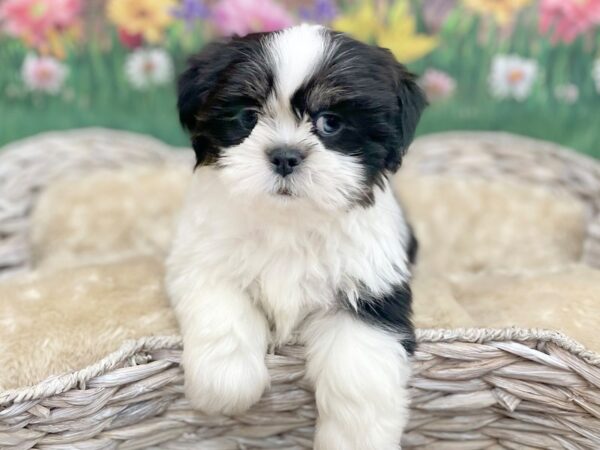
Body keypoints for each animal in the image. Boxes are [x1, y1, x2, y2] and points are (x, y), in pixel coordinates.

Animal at [166, 24, 424, 450]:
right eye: (248, 117)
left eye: (330, 122)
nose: (285, 155)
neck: (289, 221)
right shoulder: (202, 257)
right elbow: (223, 306)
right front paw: (227, 384)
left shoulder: (370, 284)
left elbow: (360, 374)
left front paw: (354, 439)